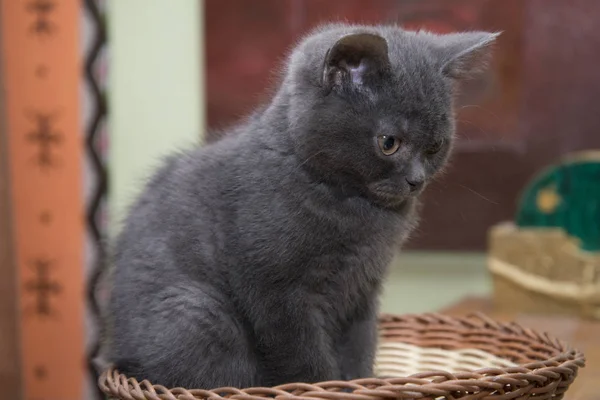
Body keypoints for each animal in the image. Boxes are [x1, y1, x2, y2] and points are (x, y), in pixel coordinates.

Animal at [106, 23, 496, 390]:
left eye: (435, 147)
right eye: (389, 143)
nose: (417, 180)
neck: (351, 206)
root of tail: (117, 351)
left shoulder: (363, 290)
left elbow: (360, 345)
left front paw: (360, 382)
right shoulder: (277, 292)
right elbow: (303, 356)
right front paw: (323, 387)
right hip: (196, 312)